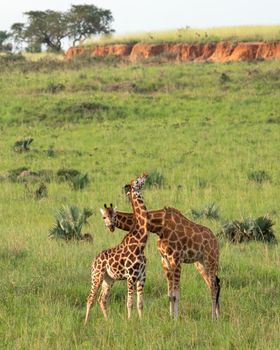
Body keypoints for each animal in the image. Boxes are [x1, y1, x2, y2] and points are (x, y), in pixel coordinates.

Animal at [84, 174, 149, 324]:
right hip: (96, 276)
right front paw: (129, 321)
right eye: (137, 181)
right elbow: (130, 302)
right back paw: (85, 323)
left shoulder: (142, 276)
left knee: (102, 299)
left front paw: (142, 321)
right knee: (90, 298)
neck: (141, 242)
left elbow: (140, 303)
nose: (146, 175)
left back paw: (108, 321)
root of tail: (94, 260)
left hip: (109, 279)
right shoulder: (131, 276)